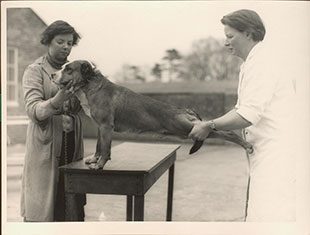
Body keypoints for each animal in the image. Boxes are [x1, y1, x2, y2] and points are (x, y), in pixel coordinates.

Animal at [52, 60, 252, 169]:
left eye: (68, 69)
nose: (53, 75)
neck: (91, 85)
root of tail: (184, 110)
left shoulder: (106, 126)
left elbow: (106, 149)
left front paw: (99, 164)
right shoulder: (101, 127)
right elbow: (99, 146)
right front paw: (93, 159)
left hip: (184, 127)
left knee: (225, 132)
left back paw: (246, 145)